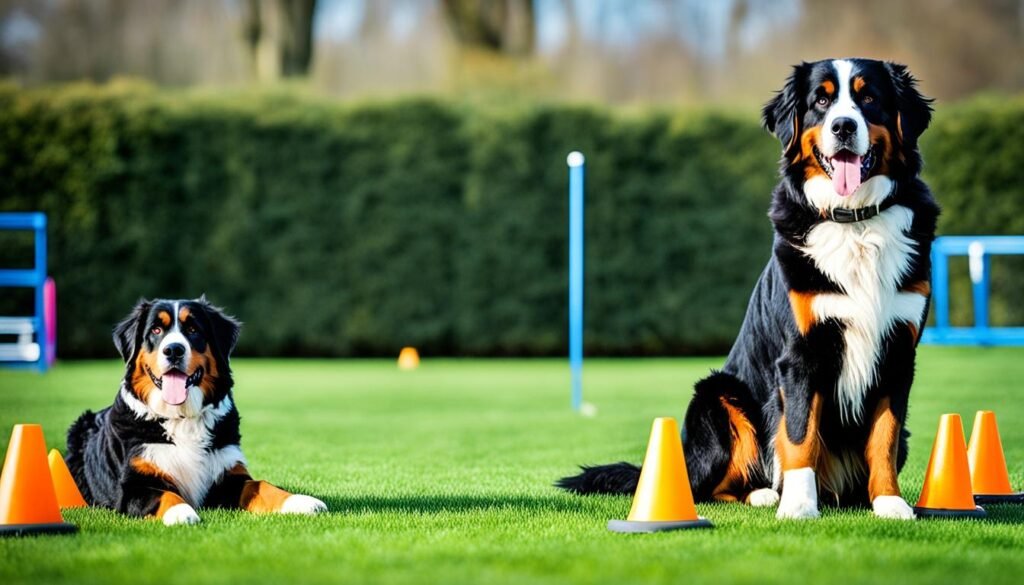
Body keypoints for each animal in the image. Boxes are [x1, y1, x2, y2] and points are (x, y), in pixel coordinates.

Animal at [66, 297, 327, 524]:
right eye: (156, 331)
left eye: (193, 330)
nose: (173, 350)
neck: (181, 417)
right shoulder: (132, 486)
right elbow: (164, 494)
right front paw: (182, 512)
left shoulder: (227, 473)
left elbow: (261, 485)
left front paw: (301, 501)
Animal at [561, 57, 937, 520]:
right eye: (821, 101)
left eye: (869, 98)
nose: (844, 126)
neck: (855, 220)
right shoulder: (800, 355)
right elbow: (799, 436)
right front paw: (798, 506)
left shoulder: (898, 352)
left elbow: (883, 438)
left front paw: (889, 502)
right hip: (718, 397)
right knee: (706, 487)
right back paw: (763, 494)